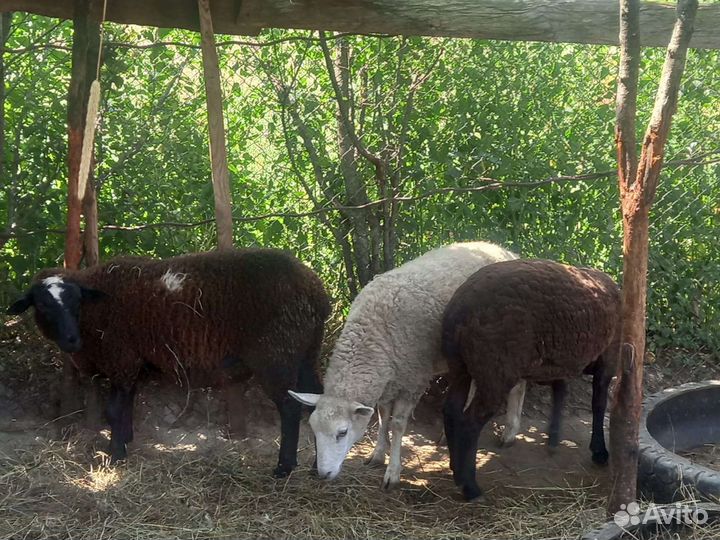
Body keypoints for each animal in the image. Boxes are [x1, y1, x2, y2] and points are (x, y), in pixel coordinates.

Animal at [7, 248, 330, 477]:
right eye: (43, 305)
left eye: (76, 301)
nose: (71, 341)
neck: (94, 312)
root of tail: (316, 290)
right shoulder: (131, 364)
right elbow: (127, 405)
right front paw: (126, 440)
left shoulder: (121, 358)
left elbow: (113, 411)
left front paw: (115, 454)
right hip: (306, 355)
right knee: (320, 402)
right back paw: (318, 466)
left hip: (276, 356)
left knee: (290, 408)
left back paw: (284, 467)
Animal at [289, 241, 519, 489]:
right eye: (313, 429)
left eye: (342, 432)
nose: (323, 474)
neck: (374, 334)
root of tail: (504, 250)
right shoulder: (388, 380)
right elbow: (382, 417)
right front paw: (378, 455)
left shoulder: (413, 380)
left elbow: (397, 425)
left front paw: (393, 472)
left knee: (517, 385)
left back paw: (510, 433)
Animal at [441, 259, 620, 501]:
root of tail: (460, 309)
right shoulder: (607, 358)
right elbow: (599, 404)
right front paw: (599, 451)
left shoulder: (559, 362)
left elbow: (560, 392)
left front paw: (553, 438)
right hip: (495, 370)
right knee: (469, 422)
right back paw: (470, 487)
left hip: (461, 366)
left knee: (451, 410)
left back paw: (455, 469)